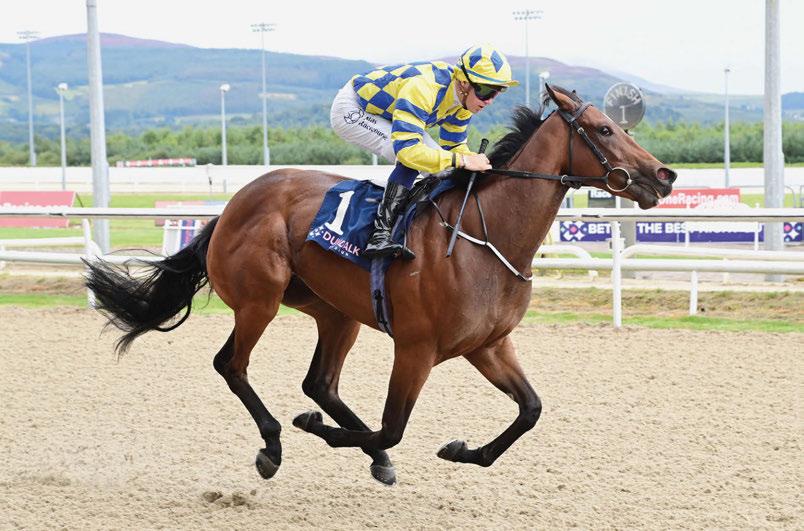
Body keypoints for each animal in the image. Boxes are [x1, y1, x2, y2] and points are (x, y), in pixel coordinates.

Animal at [85, 84, 676, 486]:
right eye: (605, 130)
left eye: (621, 126)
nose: (664, 175)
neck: (484, 236)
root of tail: (231, 206)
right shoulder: (416, 348)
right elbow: (393, 425)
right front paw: (318, 431)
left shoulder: (487, 344)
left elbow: (530, 410)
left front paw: (462, 451)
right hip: (260, 300)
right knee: (232, 364)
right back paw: (274, 444)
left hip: (335, 310)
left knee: (320, 383)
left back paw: (369, 456)